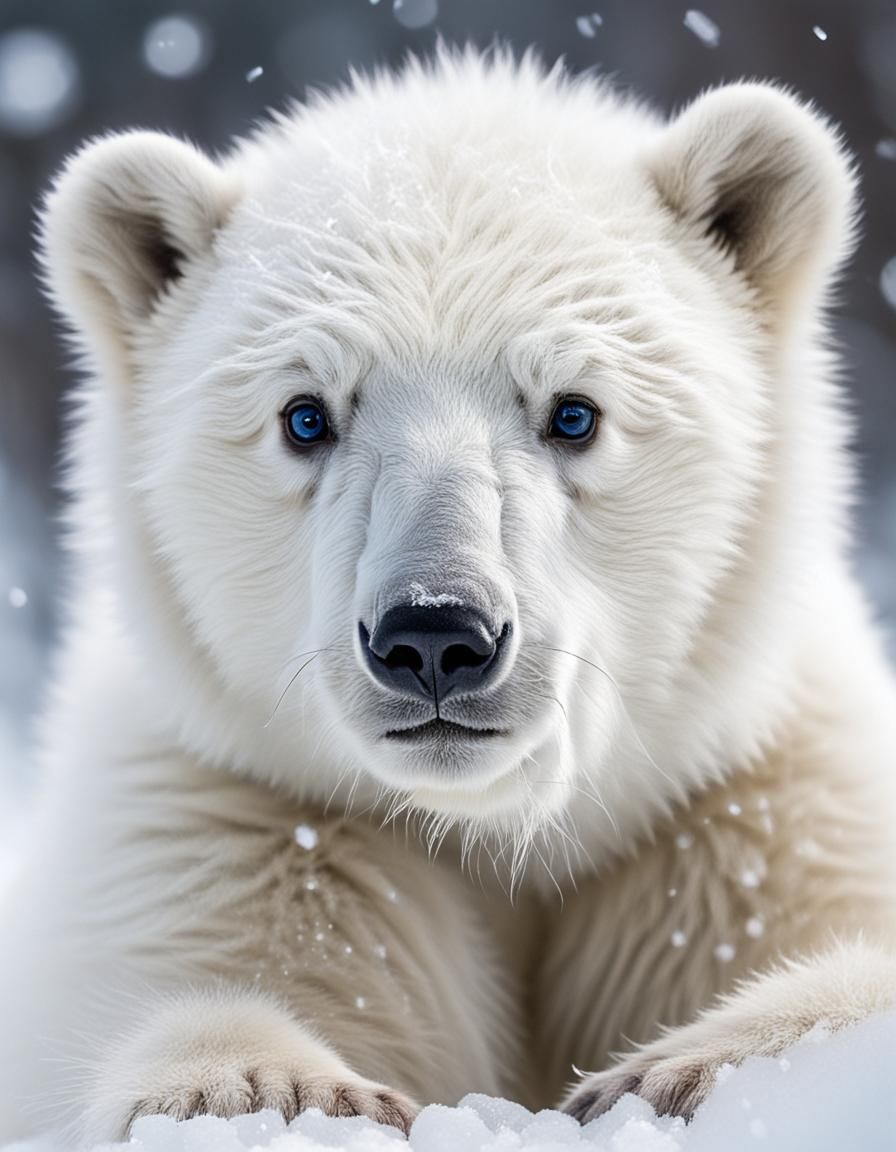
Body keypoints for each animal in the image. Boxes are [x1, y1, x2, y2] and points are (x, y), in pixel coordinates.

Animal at [2, 46, 895, 1143]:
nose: (434, 634)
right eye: (305, 415)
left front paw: (669, 1071)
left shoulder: (746, 812)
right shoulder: (234, 813)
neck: (493, 831)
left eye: (572, 412)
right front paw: (282, 1087)